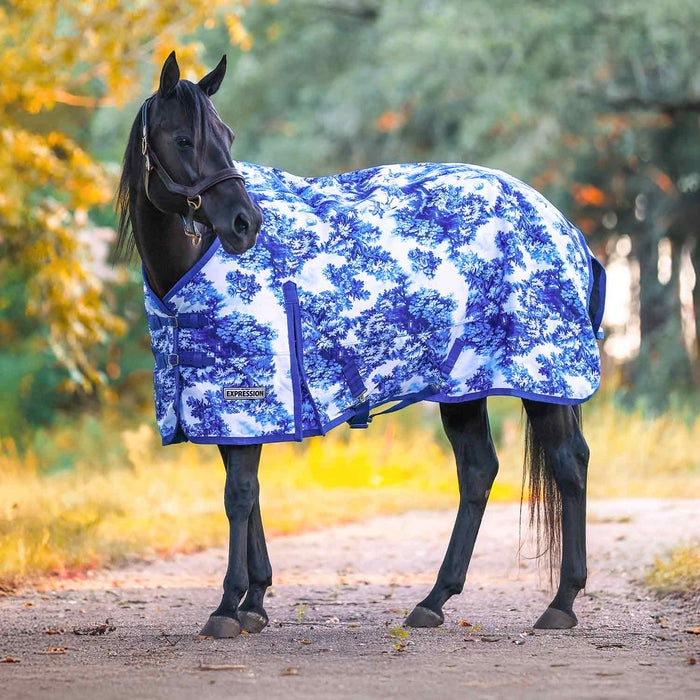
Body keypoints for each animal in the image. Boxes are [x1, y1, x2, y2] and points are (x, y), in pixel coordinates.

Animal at [117, 52, 602, 638]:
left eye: (226, 135)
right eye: (184, 138)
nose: (244, 223)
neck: (188, 264)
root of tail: (565, 227)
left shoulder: (249, 393)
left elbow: (239, 495)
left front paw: (228, 606)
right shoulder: (223, 402)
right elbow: (248, 493)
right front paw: (255, 601)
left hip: (541, 381)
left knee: (569, 465)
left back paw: (562, 603)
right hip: (463, 386)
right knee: (479, 472)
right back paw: (434, 600)